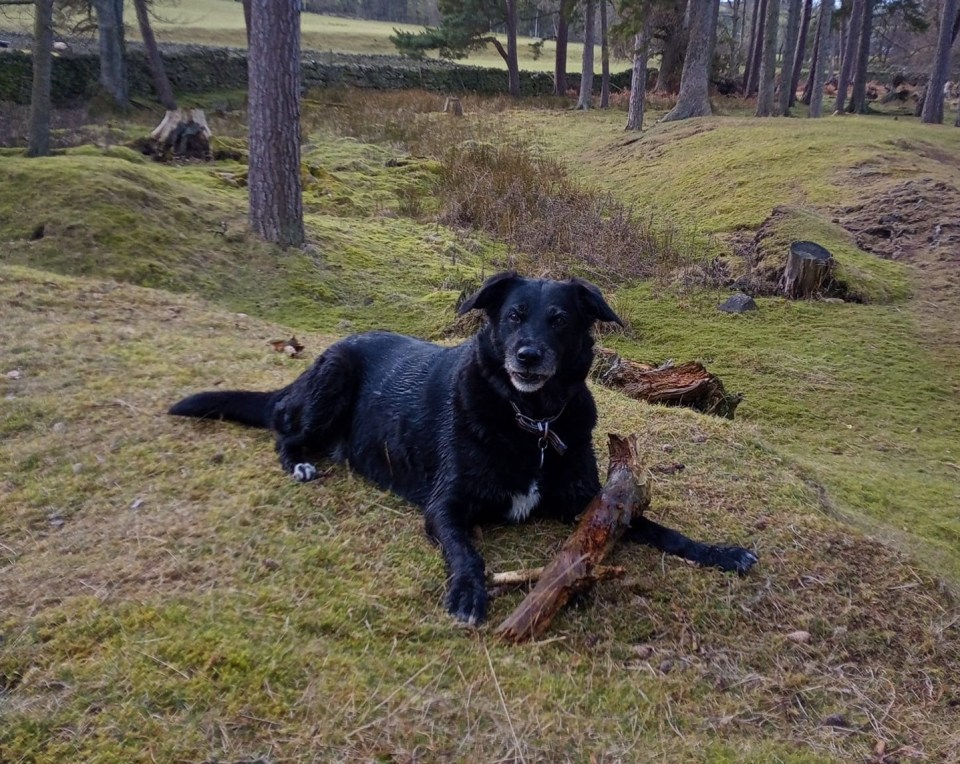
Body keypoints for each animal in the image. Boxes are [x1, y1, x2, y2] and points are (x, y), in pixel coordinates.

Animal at [171, 272, 756, 624]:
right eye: (514, 315)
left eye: (560, 320)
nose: (527, 356)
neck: (531, 421)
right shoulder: (444, 507)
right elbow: (466, 552)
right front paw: (469, 594)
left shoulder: (589, 505)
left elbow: (657, 527)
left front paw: (719, 552)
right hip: (333, 379)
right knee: (285, 431)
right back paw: (299, 463)